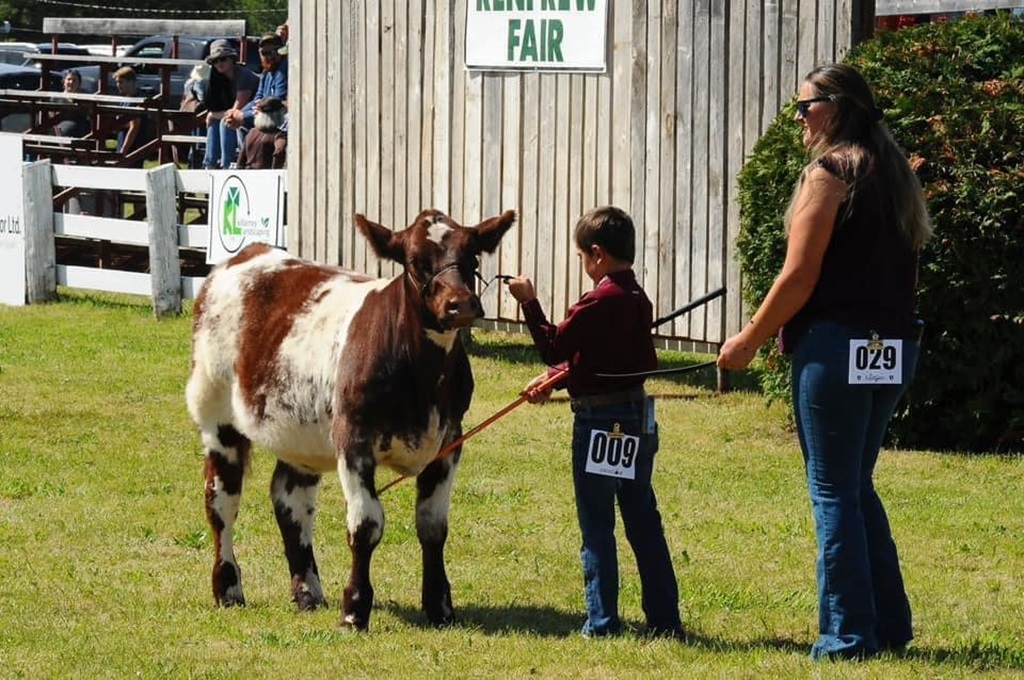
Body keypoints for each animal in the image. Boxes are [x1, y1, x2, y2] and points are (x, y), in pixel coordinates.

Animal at [186, 208, 516, 630]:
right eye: (414, 261)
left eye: (472, 257)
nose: (461, 304)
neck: (423, 380)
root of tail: (246, 255)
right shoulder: (353, 440)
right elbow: (365, 525)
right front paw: (355, 608)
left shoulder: (449, 442)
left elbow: (433, 525)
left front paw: (440, 606)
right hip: (216, 415)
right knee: (221, 501)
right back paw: (228, 588)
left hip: (300, 430)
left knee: (290, 503)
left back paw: (308, 592)